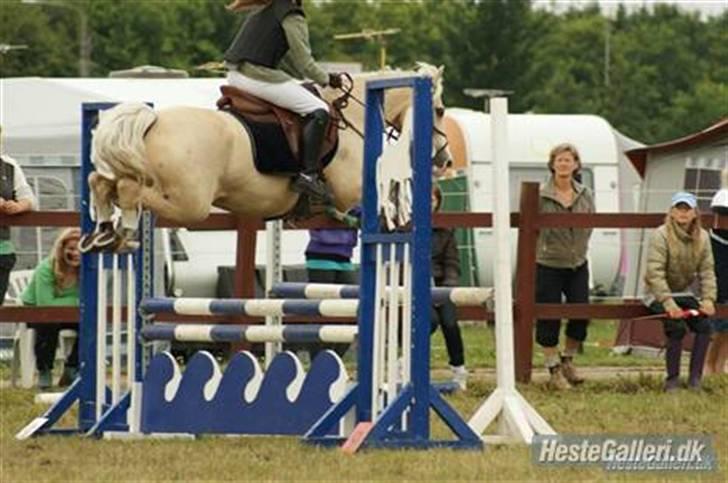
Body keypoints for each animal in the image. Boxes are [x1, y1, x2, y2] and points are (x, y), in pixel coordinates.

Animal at [84, 62, 450, 250]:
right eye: (441, 110)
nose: (445, 159)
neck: (354, 116)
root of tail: (153, 119)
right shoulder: (351, 191)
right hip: (191, 203)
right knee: (129, 190)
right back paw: (122, 230)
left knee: (101, 181)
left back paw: (104, 233)